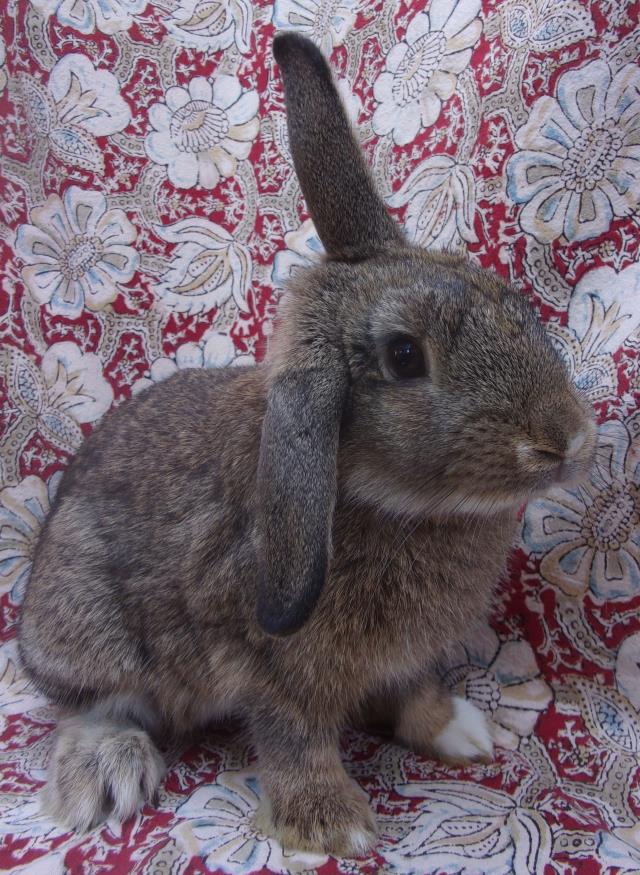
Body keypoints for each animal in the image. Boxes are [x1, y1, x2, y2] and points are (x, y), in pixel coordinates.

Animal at [17, 32, 596, 856]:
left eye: (504, 296)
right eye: (404, 357)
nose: (569, 440)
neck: (372, 492)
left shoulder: (403, 660)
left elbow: (414, 691)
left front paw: (461, 733)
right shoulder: (276, 668)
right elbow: (294, 738)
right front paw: (334, 824)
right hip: (88, 620)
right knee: (96, 706)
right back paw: (108, 778)